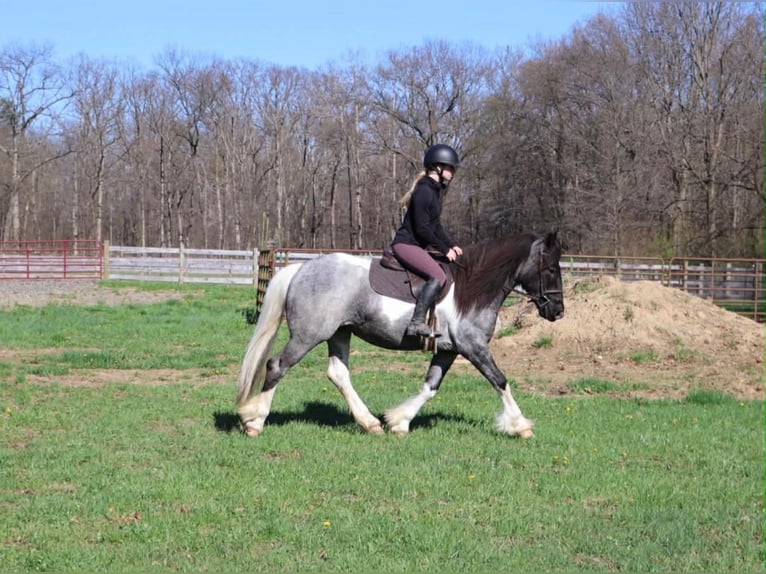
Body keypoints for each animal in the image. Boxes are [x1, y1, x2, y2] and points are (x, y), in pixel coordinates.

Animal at [236, 231, 565, 438]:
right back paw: (254, 421)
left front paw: (399, 421)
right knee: (277, 367)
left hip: (340, 333)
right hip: (308, 335)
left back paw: (370, 424)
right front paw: (521, 425)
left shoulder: (449, 350)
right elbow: (500, 380)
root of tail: (301, 270)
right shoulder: (473, 347)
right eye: (550, 269)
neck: (472, 288)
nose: (558, 311)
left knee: (338, 374)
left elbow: (431, 386)